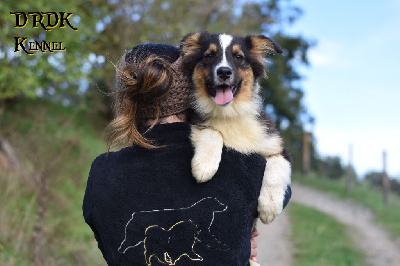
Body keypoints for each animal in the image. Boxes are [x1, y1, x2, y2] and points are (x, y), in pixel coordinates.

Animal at [180, 31, 290, 224]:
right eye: (209, 55)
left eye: (239, 57)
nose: (224, 72)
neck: (229, 113)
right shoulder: (196, 122)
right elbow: (213, 131)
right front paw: (204, 166)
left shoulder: (277, 147)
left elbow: (277, 165)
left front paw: (269, 207)